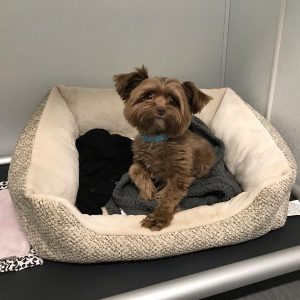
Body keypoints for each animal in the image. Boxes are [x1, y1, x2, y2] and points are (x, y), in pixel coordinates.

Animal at [113, 65, 216, 230]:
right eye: (148, 96)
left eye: (172, 100)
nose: (161, 109)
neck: (157, 139)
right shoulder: (138, 161)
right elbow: (134, 170)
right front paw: (147, 191)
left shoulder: (180, 175)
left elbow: (169, 195)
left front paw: (159, 216)